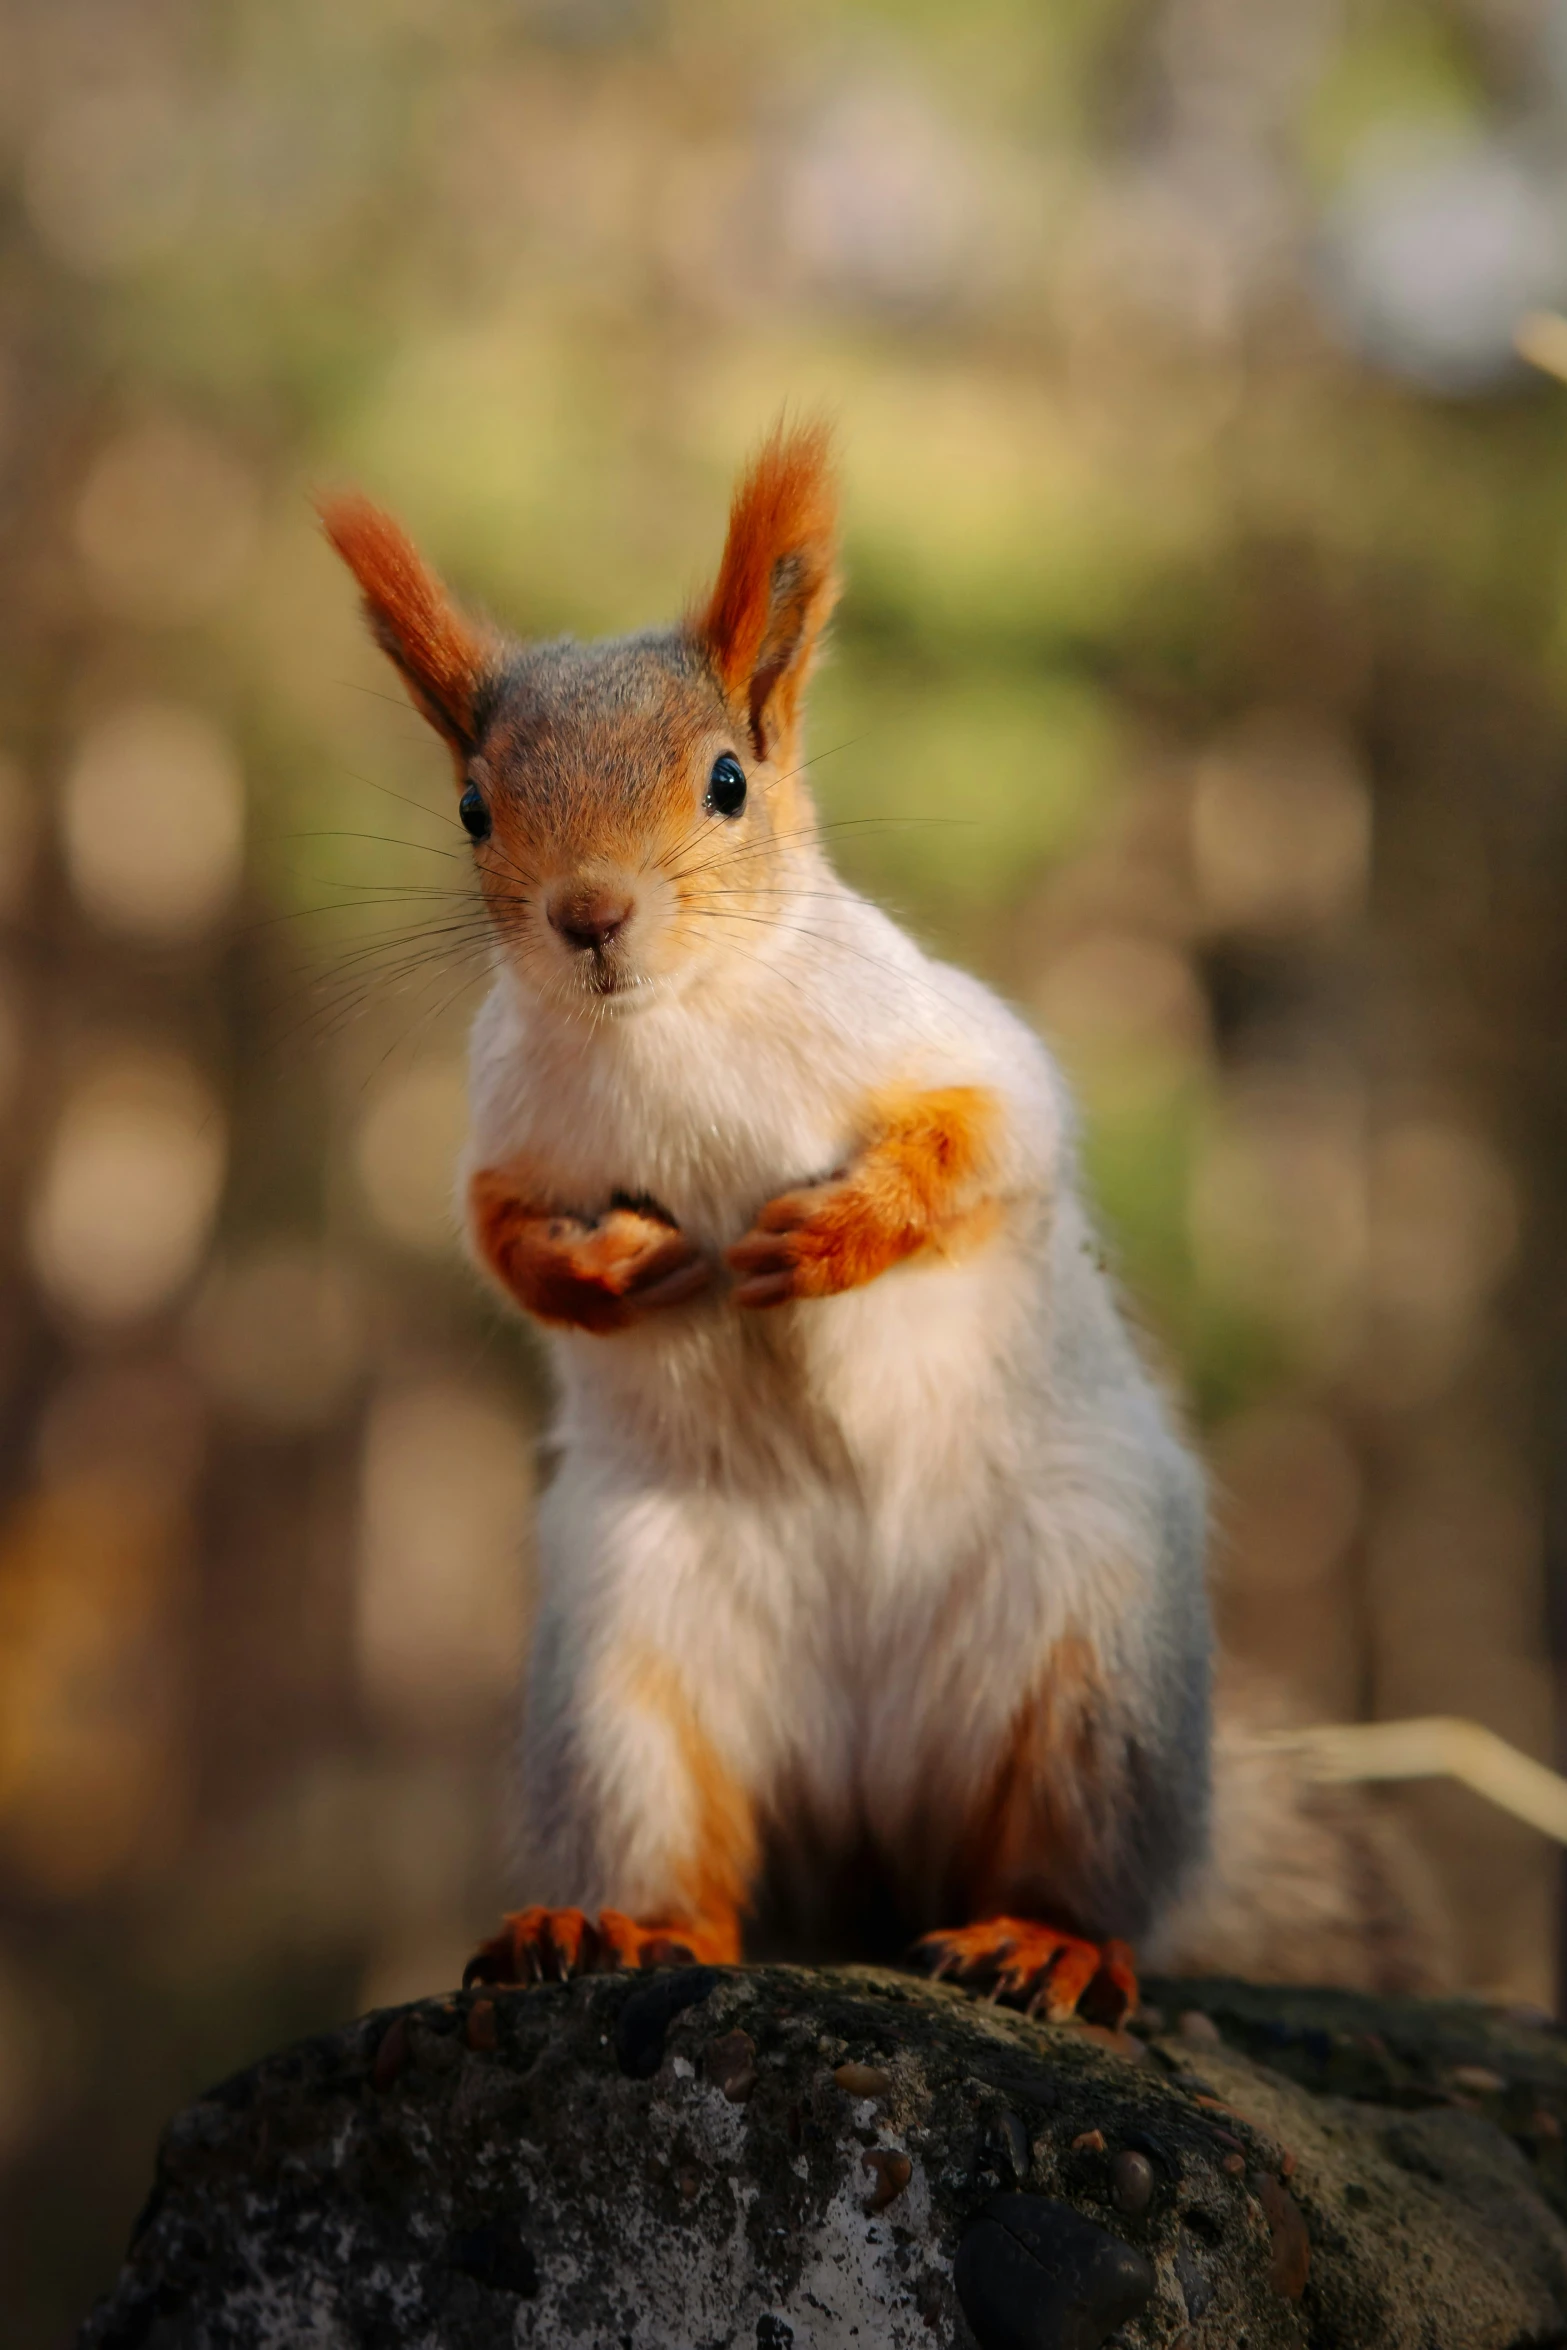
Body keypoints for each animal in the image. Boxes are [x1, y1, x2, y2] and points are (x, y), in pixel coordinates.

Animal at [324, 418, 1456, 2020]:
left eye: (727, 780)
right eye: (475, 806)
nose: (589, 915)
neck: (671, 1027)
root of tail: (868, 1813)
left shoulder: (954, 1047)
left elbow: (985, 1144)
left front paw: (831, 1237)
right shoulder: (504, 1138)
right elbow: (501, 1240)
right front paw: (610, 1265)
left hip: (1094, 1671)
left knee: (1063, 1862)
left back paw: (1042, 1940)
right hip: (623, 1680)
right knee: (685, 1857)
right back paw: (611, 1926)